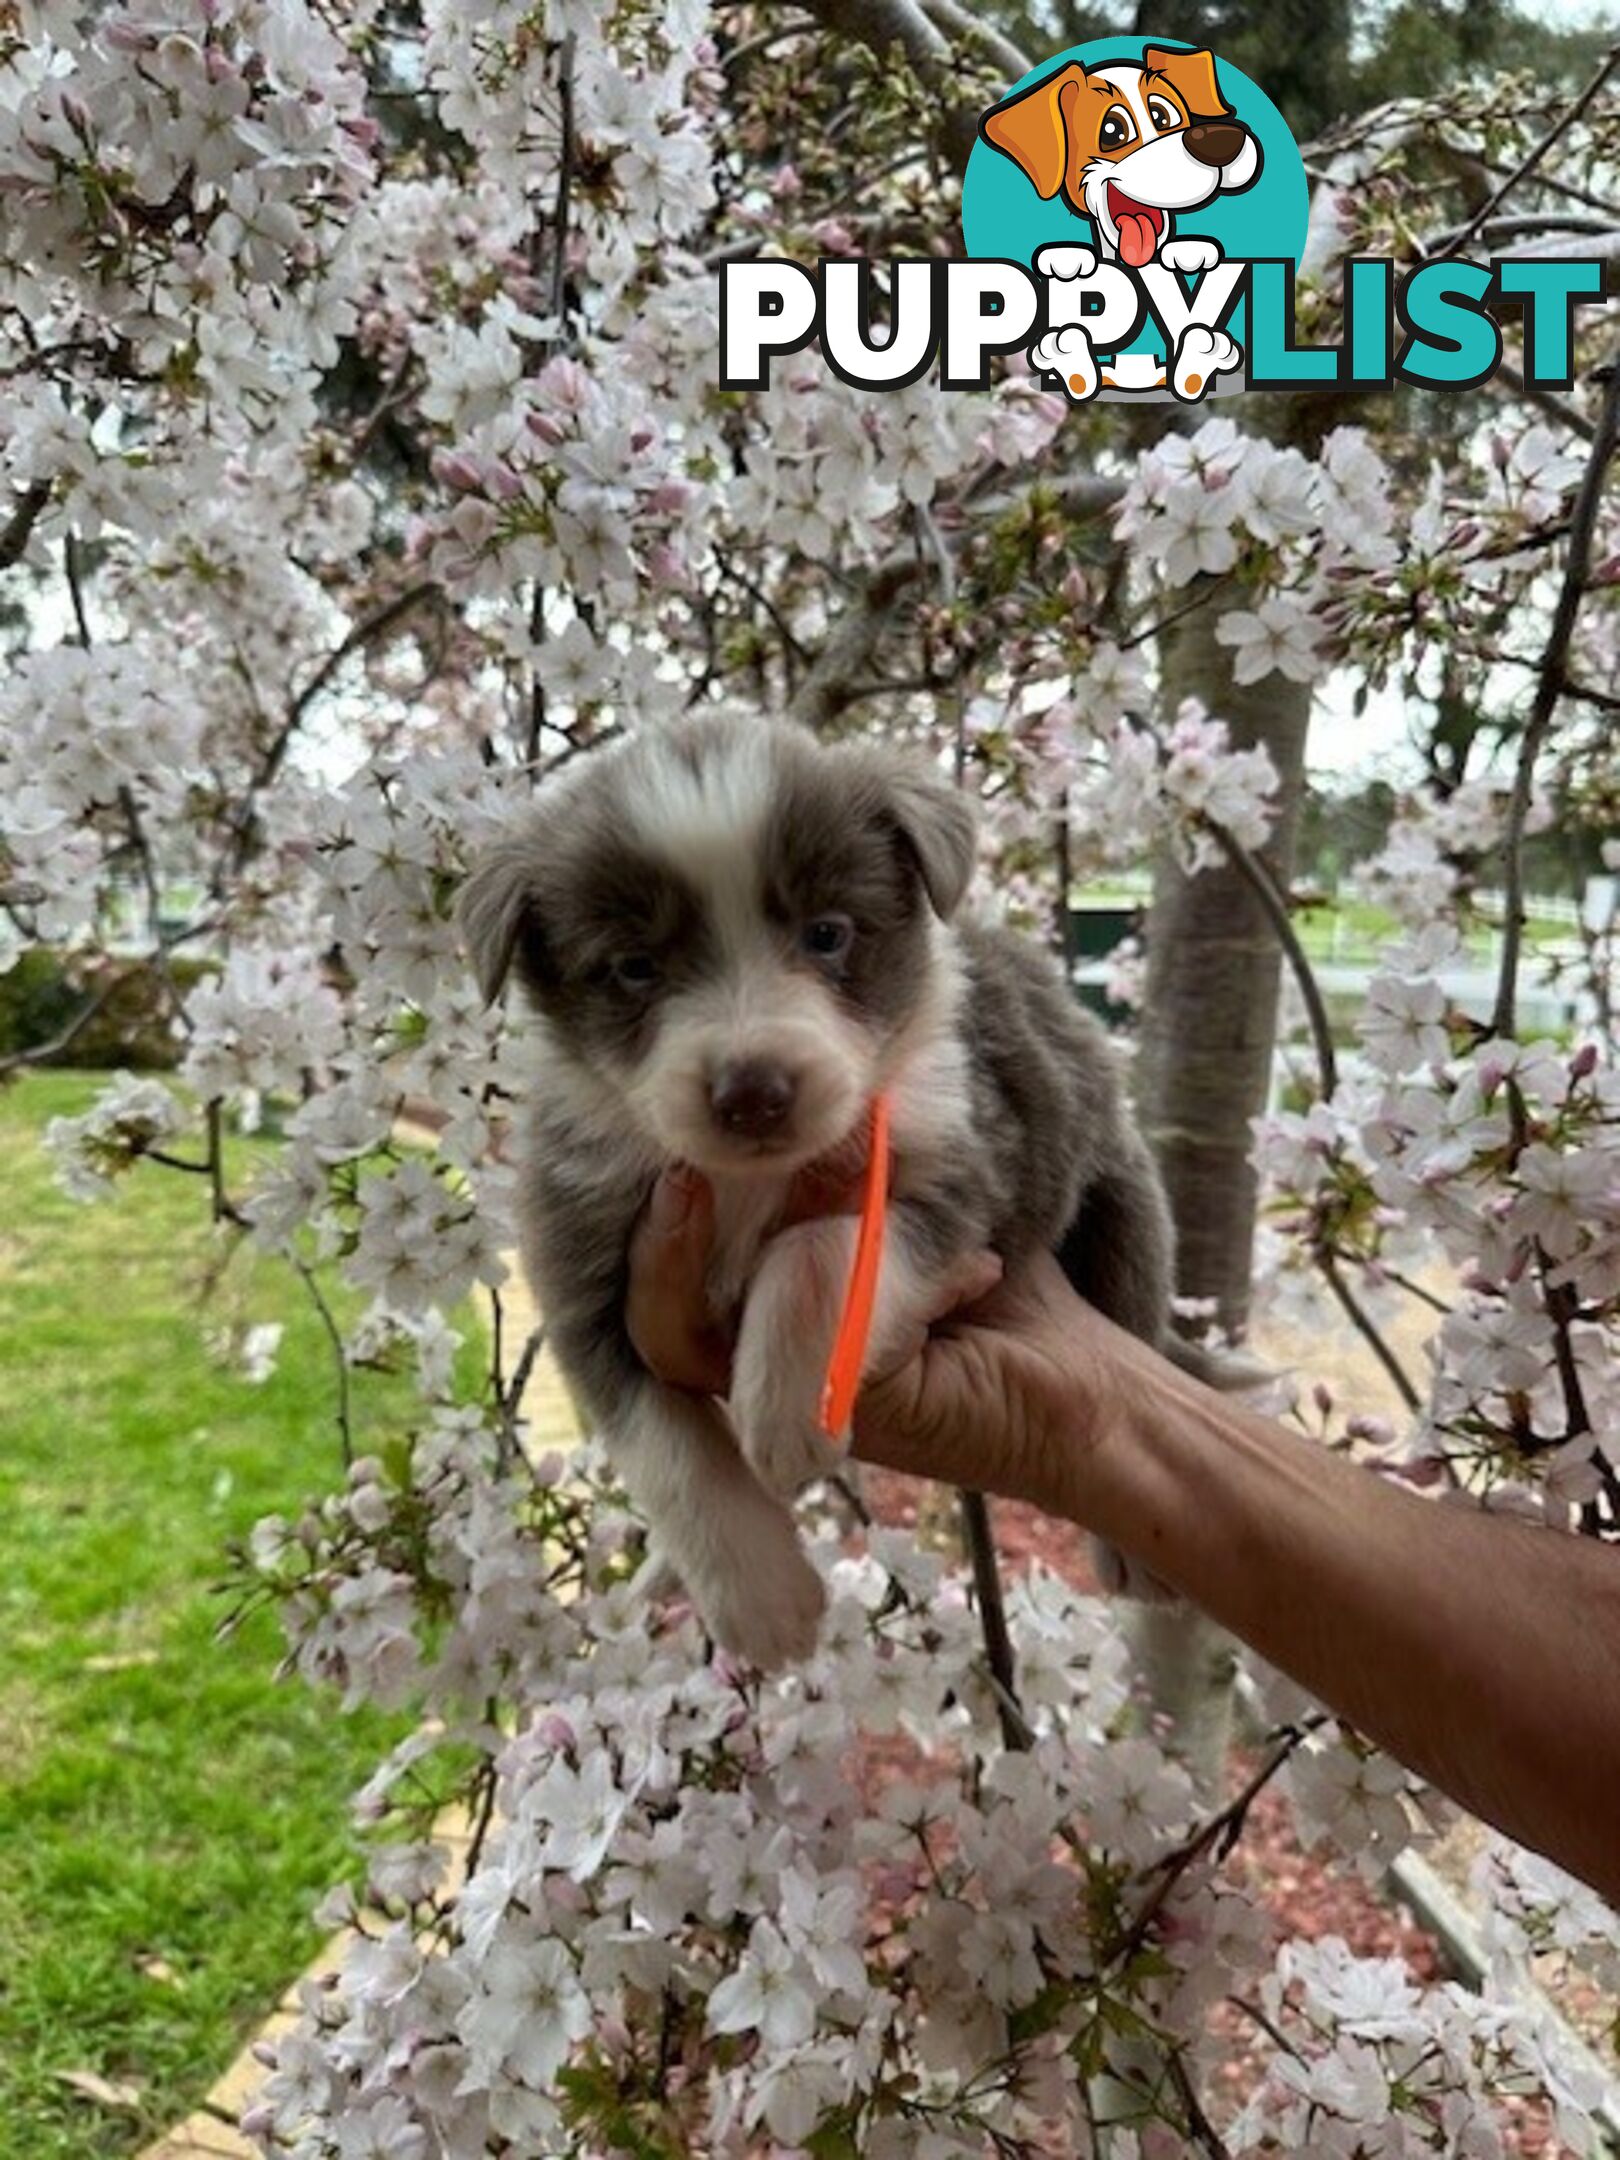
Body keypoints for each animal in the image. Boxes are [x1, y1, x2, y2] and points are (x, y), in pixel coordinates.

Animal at [462, 717, 1175, 1658]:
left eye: (828, 933)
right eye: (635, 967)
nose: (754, 1093)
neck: (747, 1180)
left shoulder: (973, 1167)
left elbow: (822, 1250)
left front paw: (788, 1409)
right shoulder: (580, 1262)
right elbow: (669, 1451)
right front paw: (767, 1606)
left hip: (1120, 1205)